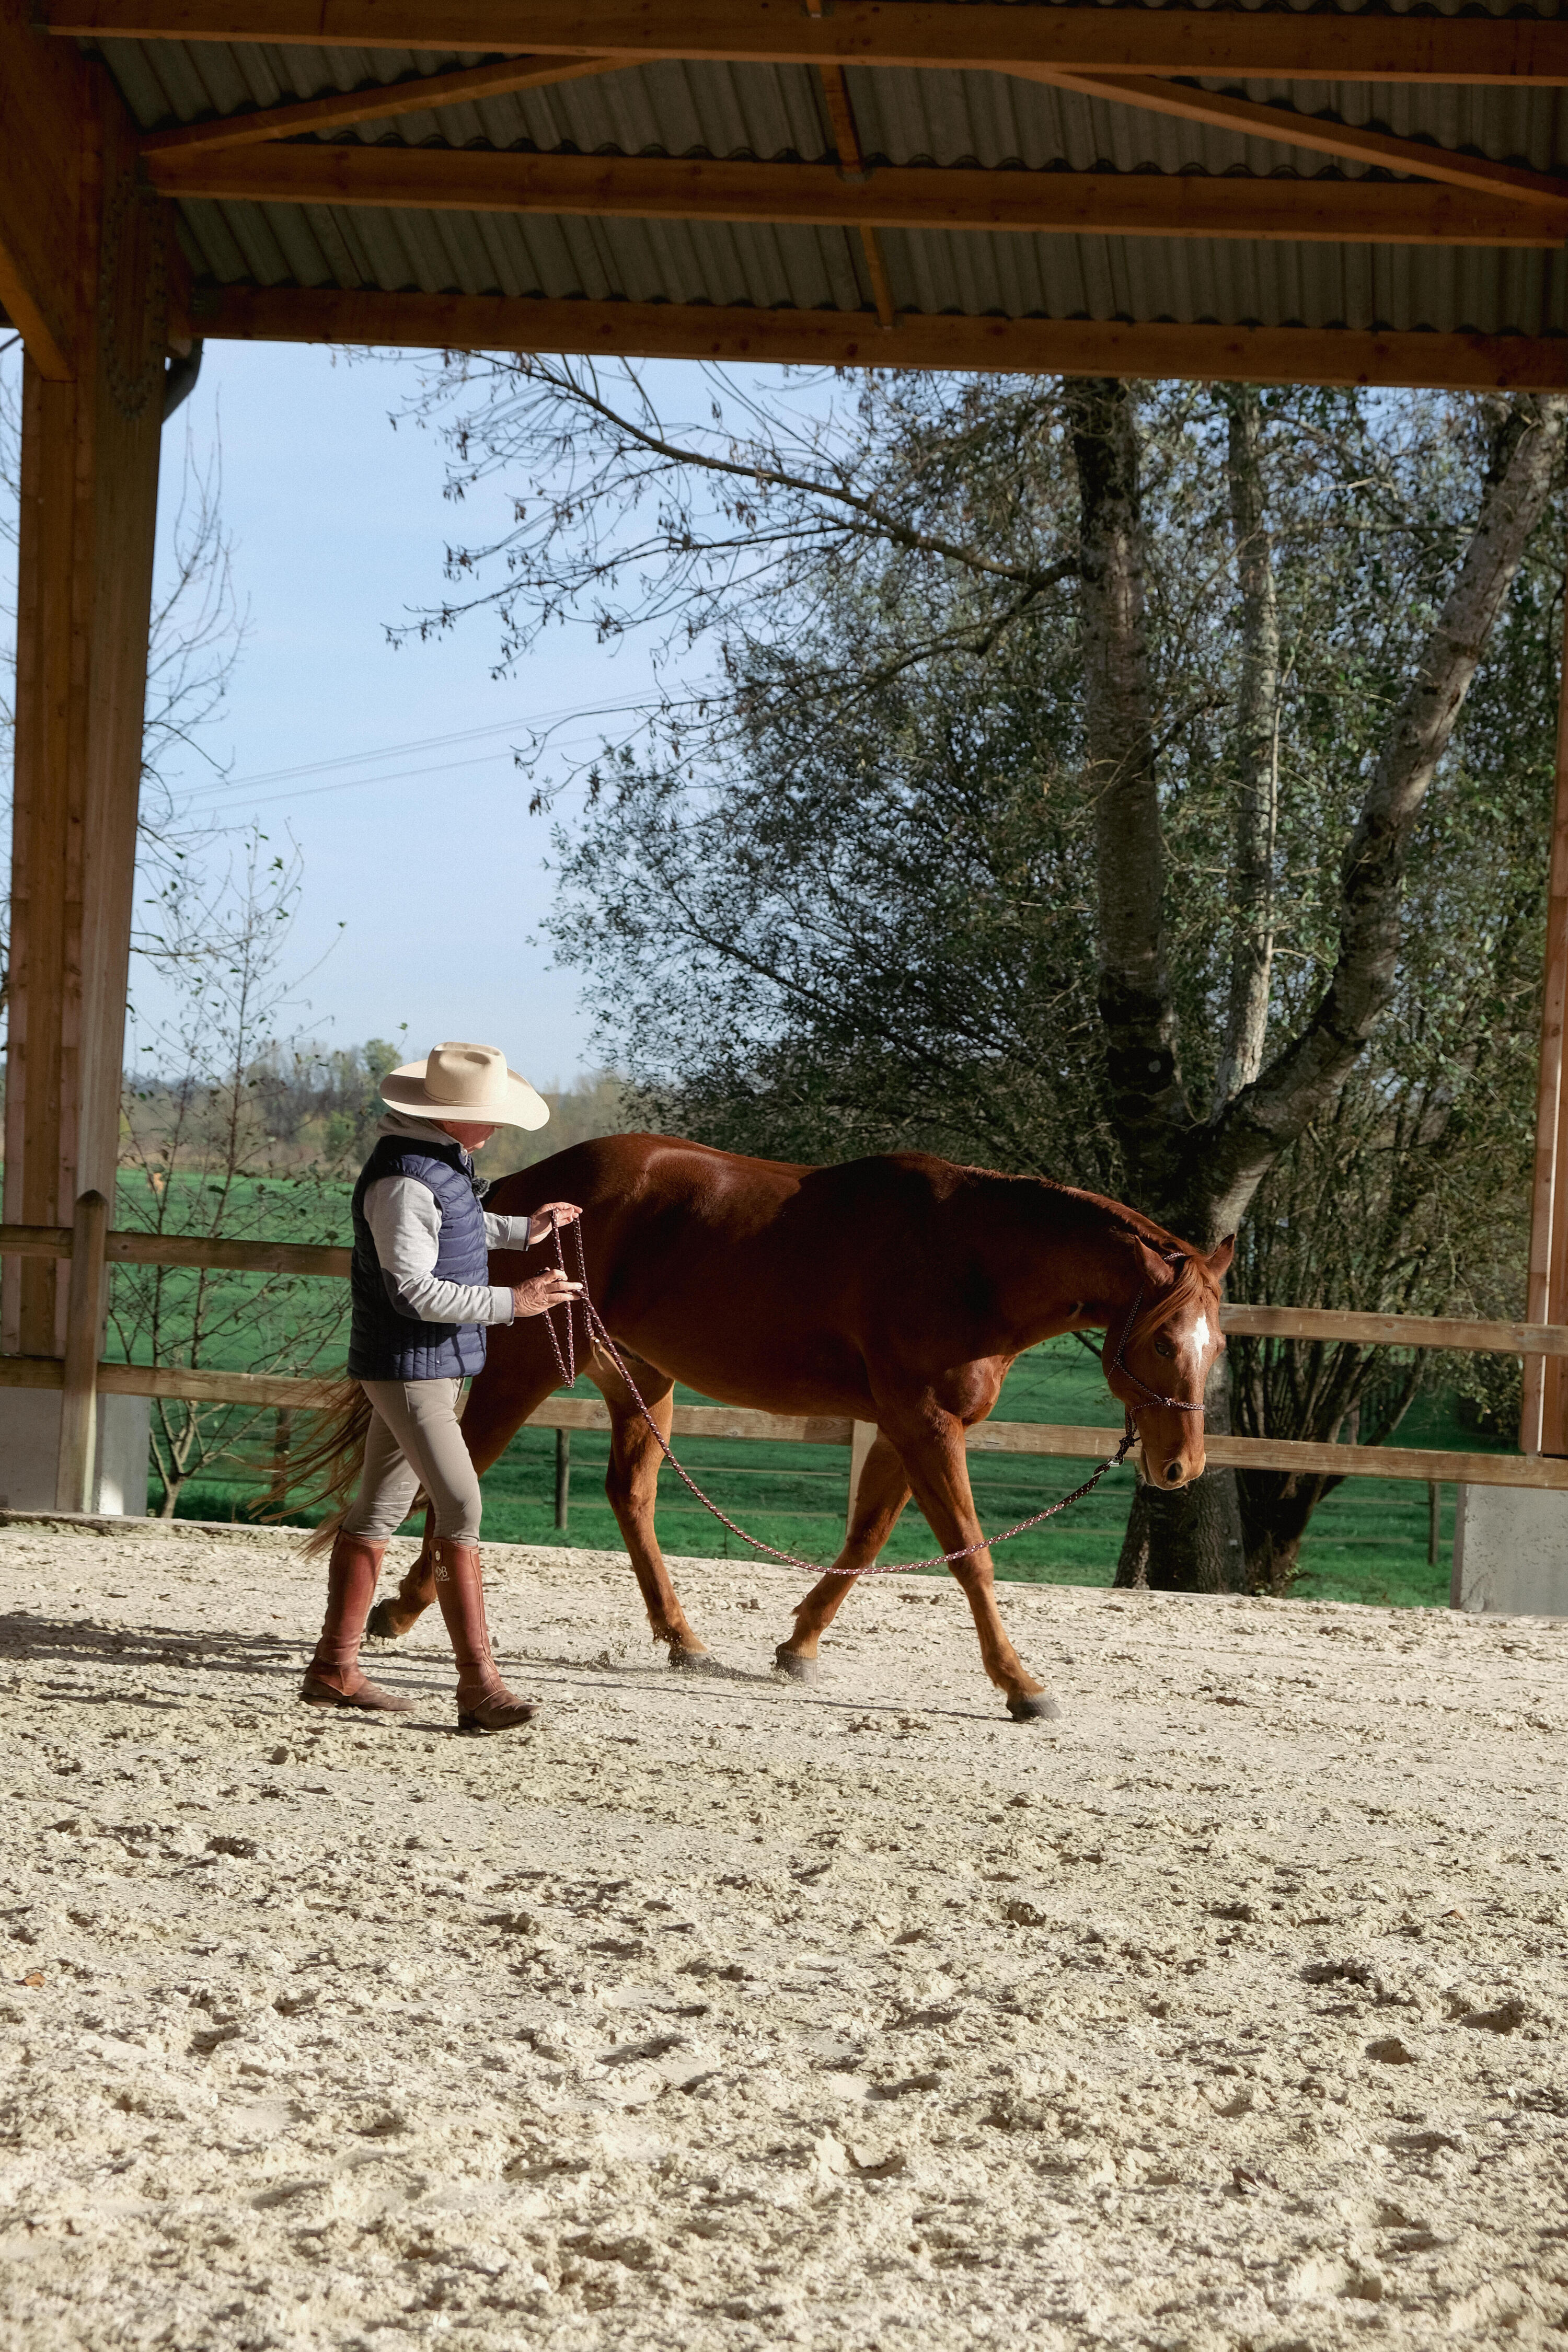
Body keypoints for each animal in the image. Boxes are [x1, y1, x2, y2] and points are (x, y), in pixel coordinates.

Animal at [356, 1134, 1231, 1722]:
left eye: (1216, 1345)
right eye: (1163, 1341)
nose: (1181, 1468)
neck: (967, 1259)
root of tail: (524, 1188)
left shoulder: (902, 1427)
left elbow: (866, 1540)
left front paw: (799, 1647)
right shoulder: (925, 1424)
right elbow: (971, 1559)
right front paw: (1021, 1686)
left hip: (641, 1382)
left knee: (629, 1497)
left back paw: (683, 1639)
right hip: (527, 1368)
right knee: (462, 1475)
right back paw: (398, 1611)